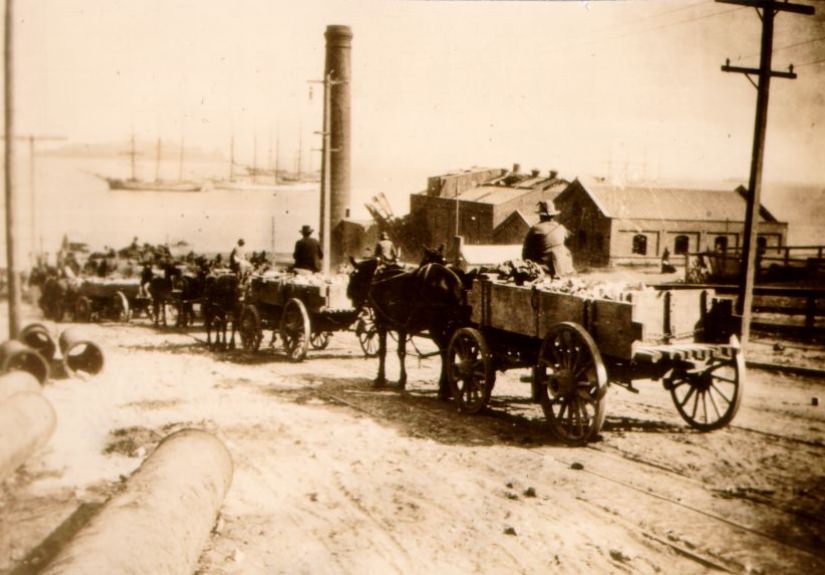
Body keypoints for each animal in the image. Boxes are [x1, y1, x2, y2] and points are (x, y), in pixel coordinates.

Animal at [344, 258, 466, 396]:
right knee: (450, 351)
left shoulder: (383, 324)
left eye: (353, 275)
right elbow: (398, 352)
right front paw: (399, 379)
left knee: (445, 352)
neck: (379, 280)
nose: (349, 294)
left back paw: (444, 389)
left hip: (436, 327)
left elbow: (386, 351)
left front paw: (383, 379)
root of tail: (450, 281)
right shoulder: (401, 327)